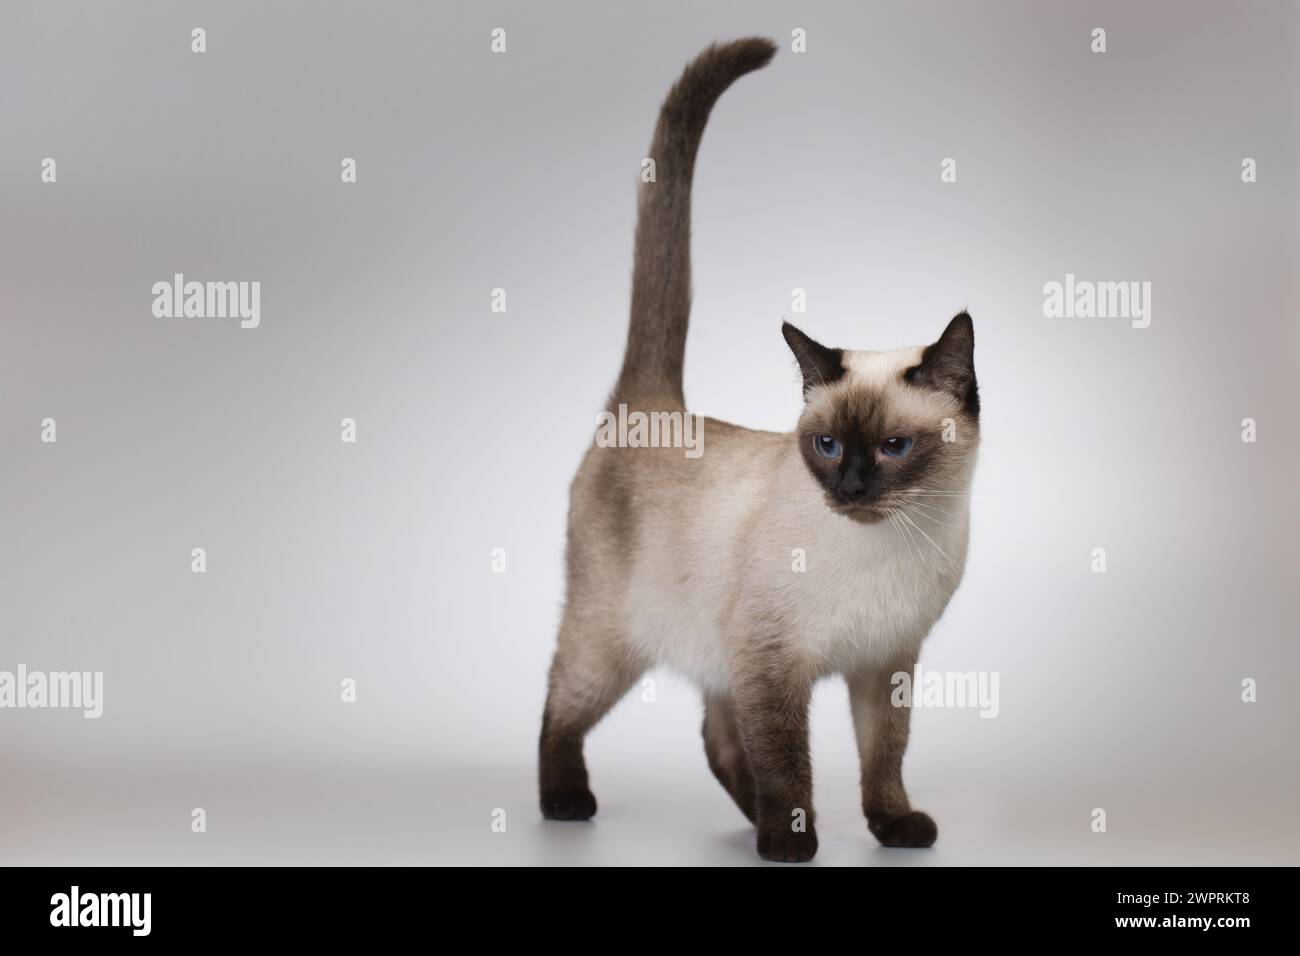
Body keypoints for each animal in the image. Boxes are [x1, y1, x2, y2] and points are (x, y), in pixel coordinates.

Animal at [535, 37, 977, 863]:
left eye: (895, 446)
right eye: (828, 445)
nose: (852, 490)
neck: (888, 546)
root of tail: (654, 407)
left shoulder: (884, 666)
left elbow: (884, 759)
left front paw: (894, 828)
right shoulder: (774, 666)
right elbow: (787, 758)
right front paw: (793, 840)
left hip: (711, 645)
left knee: (715, 737)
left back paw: (750, 822)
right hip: (610, 639)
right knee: (559, 706)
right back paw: (569, 805)